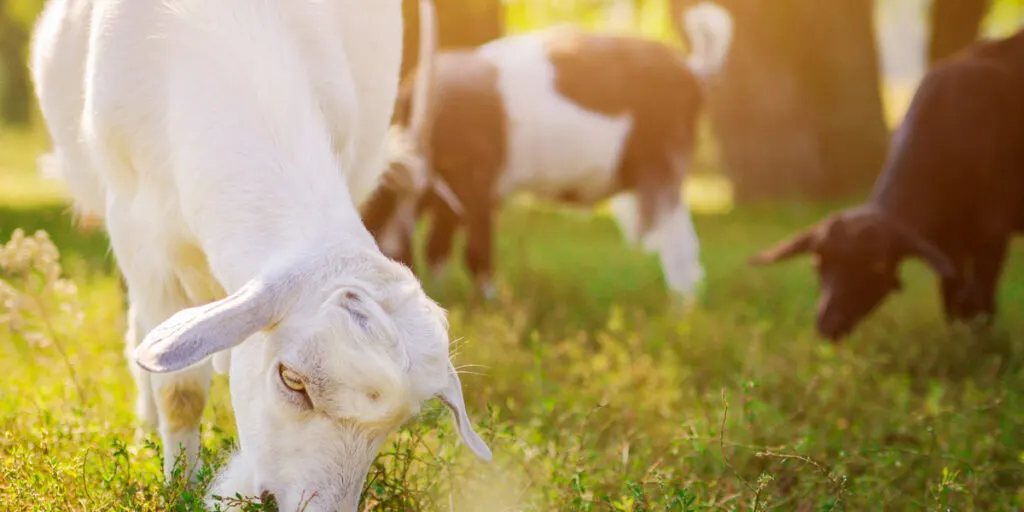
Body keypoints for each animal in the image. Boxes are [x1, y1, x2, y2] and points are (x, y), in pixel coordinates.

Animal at [364, 2, 733, 299]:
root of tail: (694, 69)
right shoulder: (452, 200)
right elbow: (438, 249)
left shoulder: (476, 184)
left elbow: (476, 252)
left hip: (666, 166)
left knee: (681, 248)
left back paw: (681, 312)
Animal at [749, 28, 1019, 339]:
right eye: (817, 262)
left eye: (876, 266)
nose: (829, 324)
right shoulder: (948, 242)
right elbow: (953, 299)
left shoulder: (992, 231)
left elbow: (982, 299)